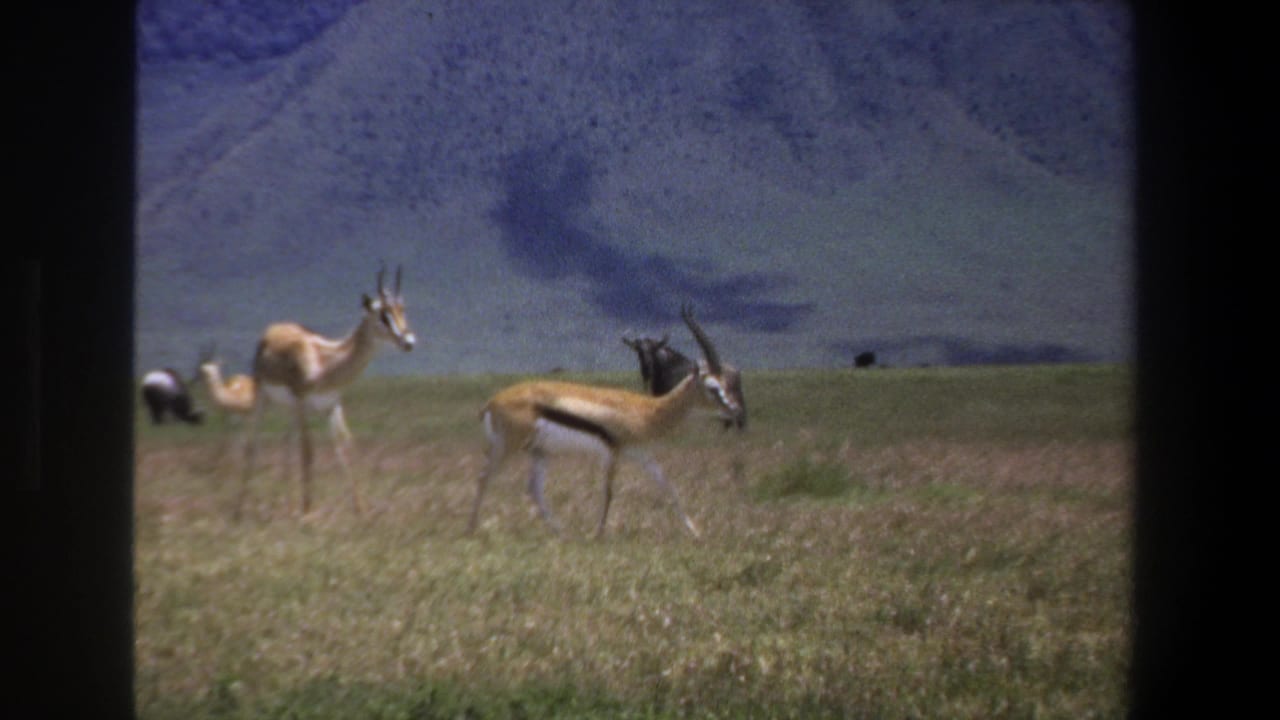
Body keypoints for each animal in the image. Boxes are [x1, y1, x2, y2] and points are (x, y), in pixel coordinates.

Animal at [237, 266, 416, 520]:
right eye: (383, 314)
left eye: (402, 310)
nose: (409, 341)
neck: (325, 362)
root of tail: (272, 330)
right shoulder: (303, 403)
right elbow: (308, 452)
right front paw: (307, 510)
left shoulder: (332, 405)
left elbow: (345, 449)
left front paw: (360, 509)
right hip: (265, 399)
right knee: (253, 446)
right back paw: (239, 510)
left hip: (291, 409)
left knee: (286, 445)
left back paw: (283, 504)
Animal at [468, 305, 746, 538]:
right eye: (712, 387)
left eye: (727, 384)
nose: (735, 411)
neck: (646, 410)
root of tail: (492, 402)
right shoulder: (612, 453)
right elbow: (609, 492)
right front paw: (599, 533)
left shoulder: (643, 455)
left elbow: (669, 487)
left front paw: (696, 533)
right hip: (508, 447)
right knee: (484, 478)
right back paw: (472, 529)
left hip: (539, 451)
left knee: (533, 490)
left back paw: (562, 533)